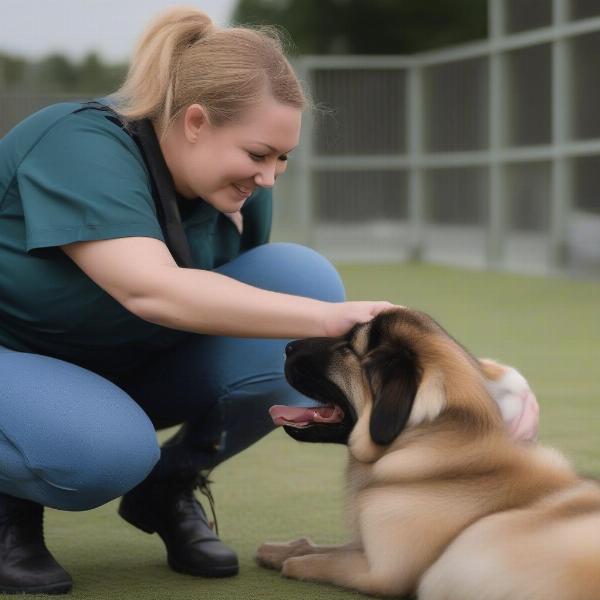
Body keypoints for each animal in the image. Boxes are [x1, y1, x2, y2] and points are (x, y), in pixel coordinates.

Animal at [255, 310, 600, 600]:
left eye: (349, 348)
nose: (288, 346)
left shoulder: (382, 573)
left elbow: (319, 560)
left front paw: (292, 561)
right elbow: (325, 547)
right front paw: (279, 550)